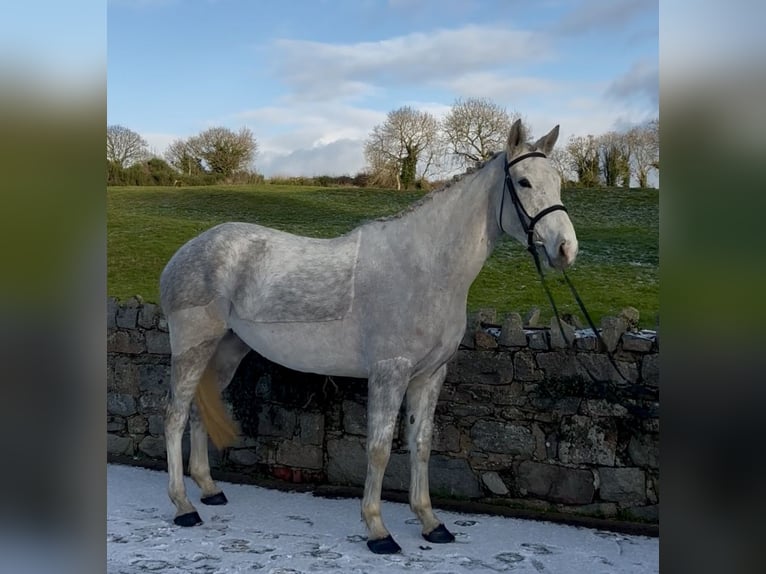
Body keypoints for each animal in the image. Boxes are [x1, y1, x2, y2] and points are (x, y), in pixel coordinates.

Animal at [160, 119, 578, 554]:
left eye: (558, 181)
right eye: (524, 181)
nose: (566, 249)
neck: (426, 268)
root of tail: (186, 252)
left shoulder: (430, 375)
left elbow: (421, 445)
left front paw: (431, 523)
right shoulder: (389, 372)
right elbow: (378, 449)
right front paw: (378, 530)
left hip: (226, 349)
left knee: (198, 410)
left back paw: (209, 489)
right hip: (192, 347)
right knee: (174, 416)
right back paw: (184, 506)